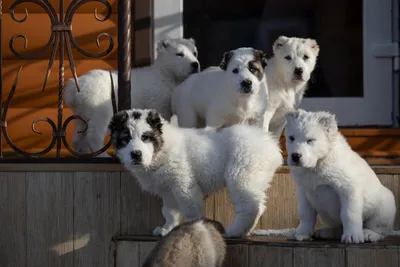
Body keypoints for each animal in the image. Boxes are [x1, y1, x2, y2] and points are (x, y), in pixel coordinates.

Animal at [64, 36, 200, 156]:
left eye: (195, 53)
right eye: (179, 54)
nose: (195, 64)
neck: (164, 75)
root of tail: (74, 88)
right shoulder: (159, 102)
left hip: (82, 111)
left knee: (79, 134)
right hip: (99, 105)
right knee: (94, 135)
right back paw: (103, 155)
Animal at [108, 108, 282, 238]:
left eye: (146, 137)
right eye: (125, 139)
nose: (136, 154)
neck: (161, 149)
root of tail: (271, 144)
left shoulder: (183, 184)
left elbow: (190, 208)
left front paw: (195, 228)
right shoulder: (168, 189)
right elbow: (169, 211)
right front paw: (167, 228)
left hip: (241, 174)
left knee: (248, 206)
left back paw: (234, 231)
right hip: (255, 176)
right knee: (257, 205)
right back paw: (245, 231)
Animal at [286, 109, 396, 245]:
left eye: (310, 140)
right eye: (291, 138)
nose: (295, 156)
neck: (317, 165)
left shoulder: (348, 189)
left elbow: (349, 214)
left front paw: (352, 236)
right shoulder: (303, 192)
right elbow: (305, 214)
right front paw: (301, 233)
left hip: (385, 205)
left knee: (380, 230)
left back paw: (369, 234)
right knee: (338, 229)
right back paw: (325, 232)